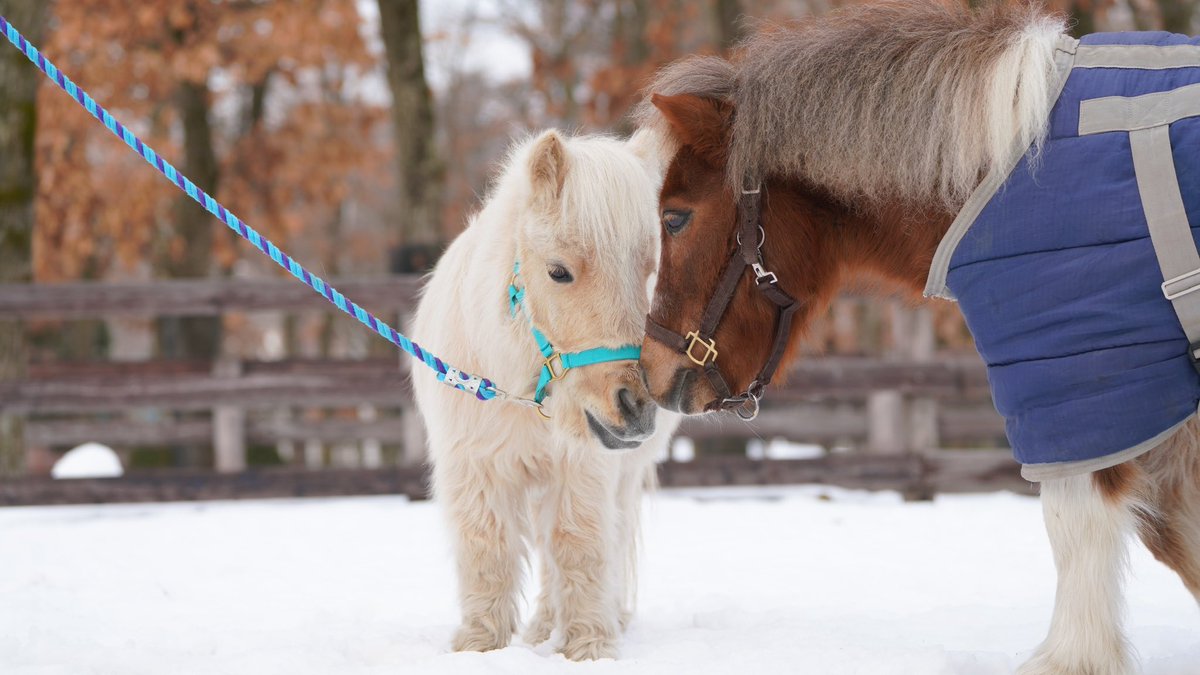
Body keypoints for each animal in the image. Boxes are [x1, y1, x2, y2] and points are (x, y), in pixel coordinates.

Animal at [410, 128, 680, 661]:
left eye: (649, 269)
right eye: (558, 271)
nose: (636, 407)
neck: (520, 390)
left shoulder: (584, 467)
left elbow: (579, 545)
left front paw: (589, 646)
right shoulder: (473, 466)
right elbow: (487, 548)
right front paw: (480, 646)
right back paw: (540, 629)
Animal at [635, 2, 1200, 673]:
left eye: (674, 217)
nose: (650, 370)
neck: (1007, 169)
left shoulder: (1084, 391)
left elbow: (1079, 526)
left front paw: (1074, 658)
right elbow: (1175, 536)